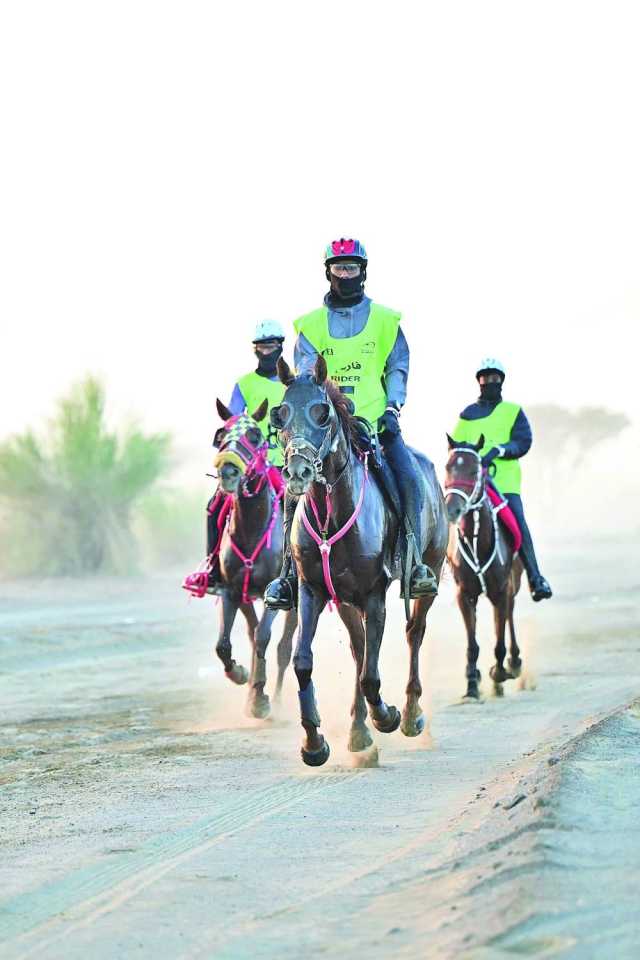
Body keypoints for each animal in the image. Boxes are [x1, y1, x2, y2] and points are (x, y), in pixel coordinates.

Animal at [212, 398, 298, 720]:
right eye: (221, 435)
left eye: (255, 435)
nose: (228, 472)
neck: (252, 528)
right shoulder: (232, 591)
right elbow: (223, 644)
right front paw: (241, 675)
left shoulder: (275, 595)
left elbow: (264, 636)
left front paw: (261, 698)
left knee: (283, 647)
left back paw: (278, 697)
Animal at [270, 356, 450, 768]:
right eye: (280, 414)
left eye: (321, 413)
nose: (298, 471)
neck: (330, 517)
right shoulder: (312, 590)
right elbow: (304, 661)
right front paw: (314, 743)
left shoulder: (374, 595)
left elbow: (371, 674)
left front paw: (388, 716)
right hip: (344, 599)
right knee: (358, 648)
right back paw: (357, 732)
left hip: (428, 573)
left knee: (413, 633)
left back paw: (410, 715)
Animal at [442, 436, 524, 696]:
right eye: (448, 467)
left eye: (474, 470)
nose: (452, 509)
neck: (478, 542)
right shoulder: (464, 593)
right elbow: (472, 643)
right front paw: (471, 682)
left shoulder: (501, 589)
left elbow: (500, 639)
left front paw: (499, 671)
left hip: (513, 583)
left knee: (510, 614)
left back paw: (514, 662)